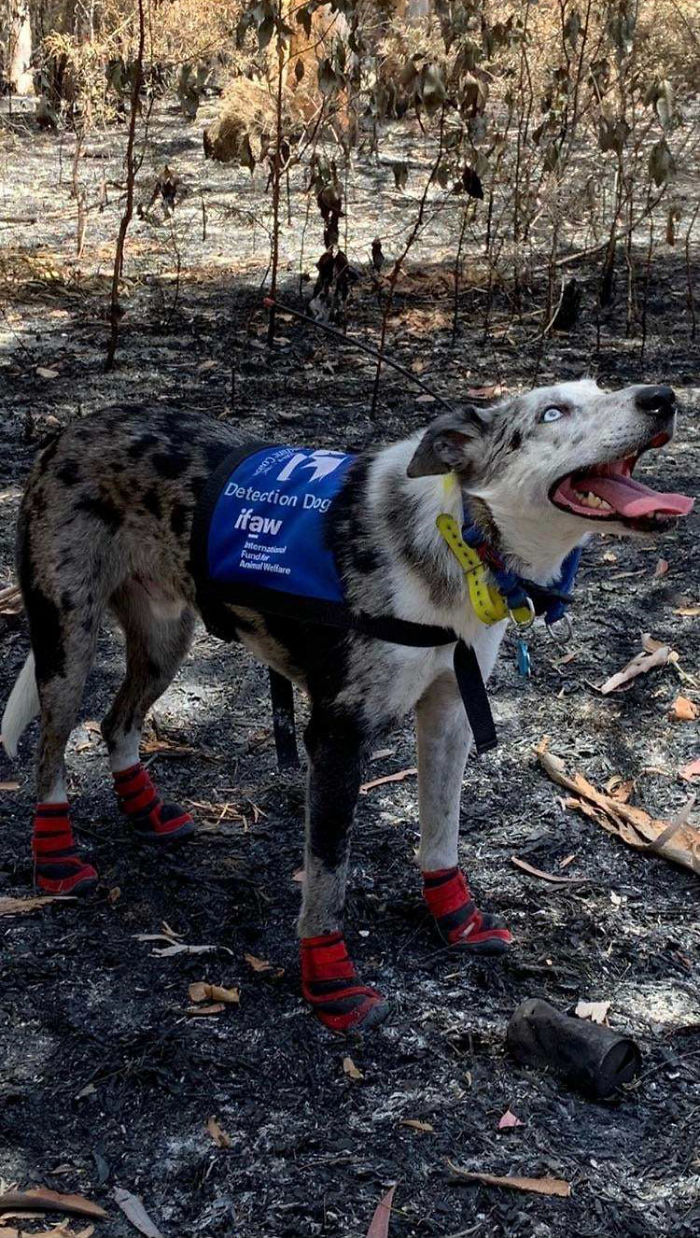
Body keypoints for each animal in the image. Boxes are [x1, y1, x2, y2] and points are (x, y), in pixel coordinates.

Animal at [1, 378, 693, 1034]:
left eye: (601, 388)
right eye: (552, 412)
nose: (662, 399)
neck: (461, 539)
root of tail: (71, 429)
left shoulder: (450, 716)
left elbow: (441, 836)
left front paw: (459, 923)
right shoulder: (337, 737)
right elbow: (328, 874)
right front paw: (331, 984)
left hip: (166, 639)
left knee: (115, 721)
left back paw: (144, 810)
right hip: (67, 642)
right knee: (50, 752)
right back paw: (56, 859)